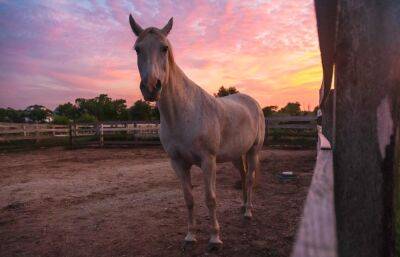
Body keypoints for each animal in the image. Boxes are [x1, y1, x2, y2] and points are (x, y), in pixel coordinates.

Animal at [129, 15, 266, 250]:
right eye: (138, 49)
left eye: (164, 48)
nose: (151, 87)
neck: (182, 113)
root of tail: (253, 102)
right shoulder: (177, 162)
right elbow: (189, 199)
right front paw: (190, 236)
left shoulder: (207, 160)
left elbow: (210, 198)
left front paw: (215, 239)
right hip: (236, 154)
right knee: (243, 175)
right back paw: (242, 207)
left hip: (253, 151)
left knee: (249, 179)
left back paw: (248, 212)